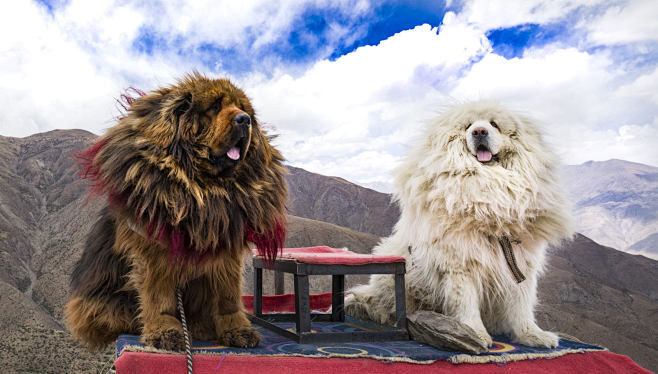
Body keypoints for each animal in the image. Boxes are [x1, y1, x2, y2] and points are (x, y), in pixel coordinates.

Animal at [66, 74, 288, 350]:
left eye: (244, 110)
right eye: (214, 107)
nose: (244, 119)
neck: (204, 188)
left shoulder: (225, 251)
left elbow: (227, 297)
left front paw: (237, 329)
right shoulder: (154, 253)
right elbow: (159, 296)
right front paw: (165, 331)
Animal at [346, 99, 572, 348]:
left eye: (494, 124)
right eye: (468, 126)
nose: (479, 132)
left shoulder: (520, 264)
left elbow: (521, 306)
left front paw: (532, 335)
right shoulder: (460, 264)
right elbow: (466, 302)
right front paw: (475, 334)